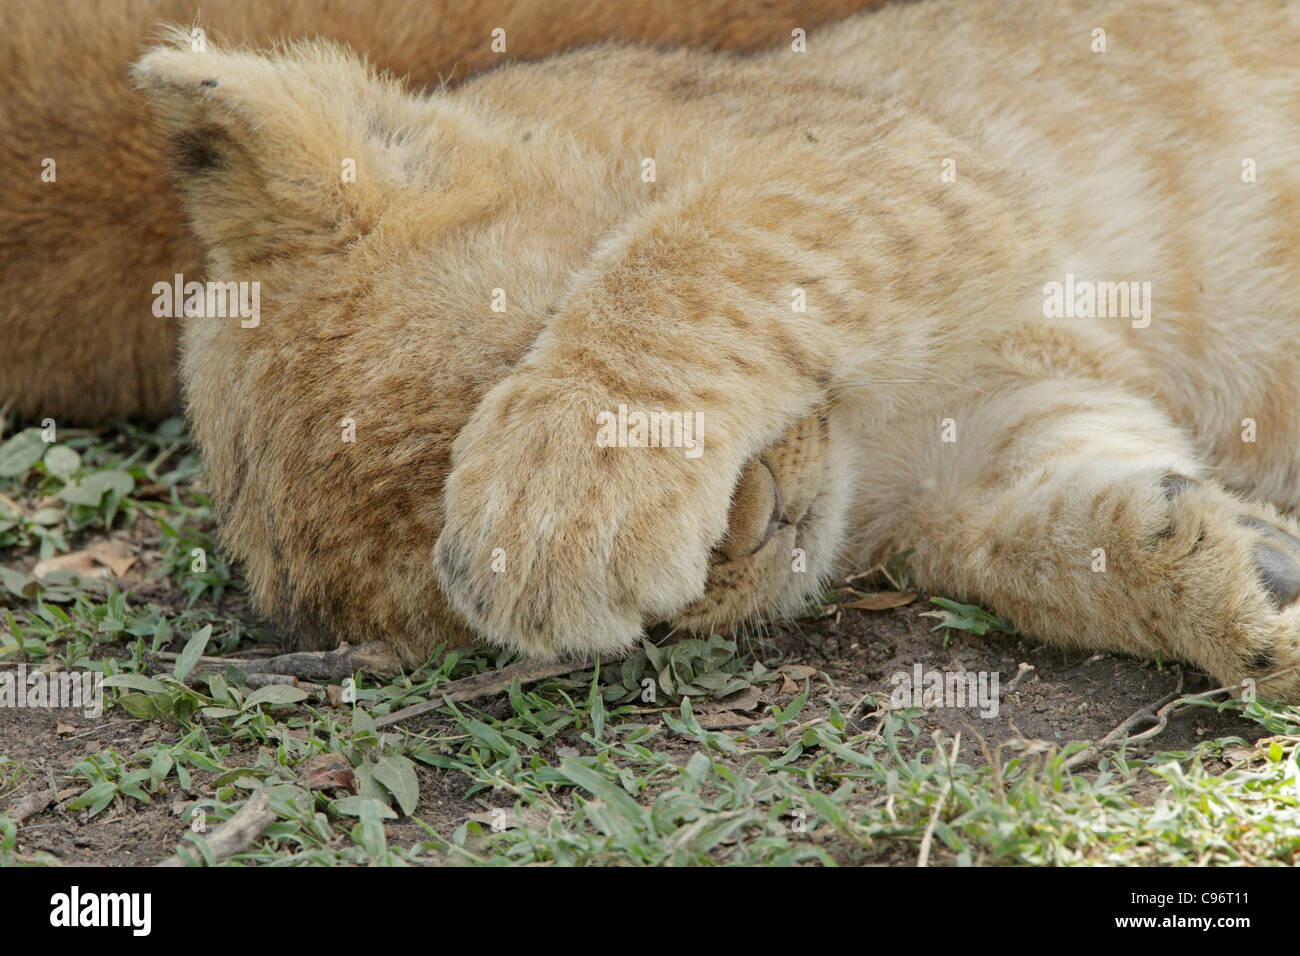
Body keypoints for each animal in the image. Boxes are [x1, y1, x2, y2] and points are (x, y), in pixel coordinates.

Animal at [131, 0, 1300, 702]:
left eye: (533, 342)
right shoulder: (991, 436)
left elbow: (694, 256)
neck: (873, 439)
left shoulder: (879, 163)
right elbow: (1054, 540)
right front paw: (1255, 585)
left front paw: (562, 493)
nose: (763, 514)